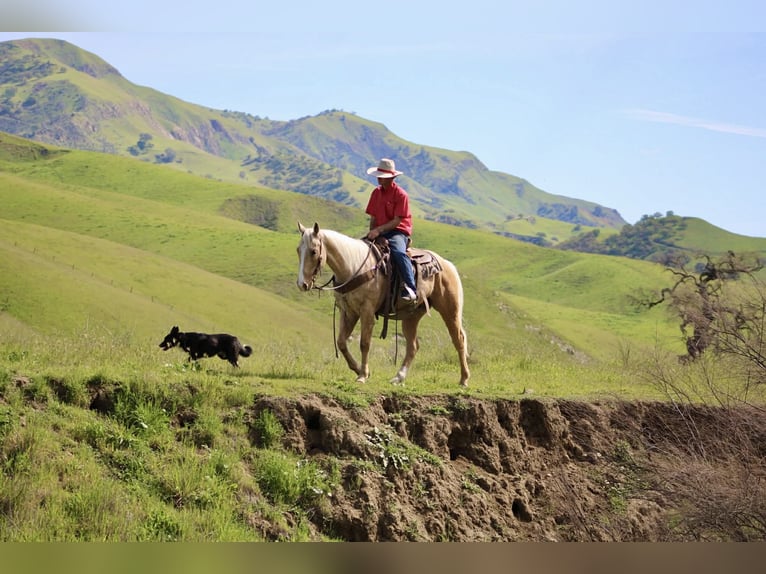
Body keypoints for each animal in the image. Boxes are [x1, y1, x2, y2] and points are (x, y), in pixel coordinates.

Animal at [296, 222, 470, 387]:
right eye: (298, 250)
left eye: (313, 251)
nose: (301, 284)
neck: (353, 267)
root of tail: (447, 264)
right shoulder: (348, 312)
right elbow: (341, 342)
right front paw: (358, 369)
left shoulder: (366, 311)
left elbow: (364, 343)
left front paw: (362, 375)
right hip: (411, 316)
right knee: (413, 346)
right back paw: (398, 377)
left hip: (450, 310)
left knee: (459, 339)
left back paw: (464, 379)